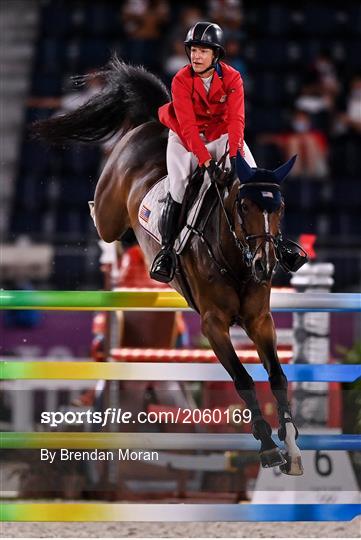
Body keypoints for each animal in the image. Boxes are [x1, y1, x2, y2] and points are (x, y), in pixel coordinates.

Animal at [33, 56, 304, 476]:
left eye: (280, 207)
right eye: (244, 206)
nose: (265, 265)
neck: (235, 258)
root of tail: (154, 121)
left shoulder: (260, 320)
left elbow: (277, 376)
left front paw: (291, 447)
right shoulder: (213, 324)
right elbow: (243, 379)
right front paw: (267, 447)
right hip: (111, 207)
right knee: (101, 217)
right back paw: (107, 248)